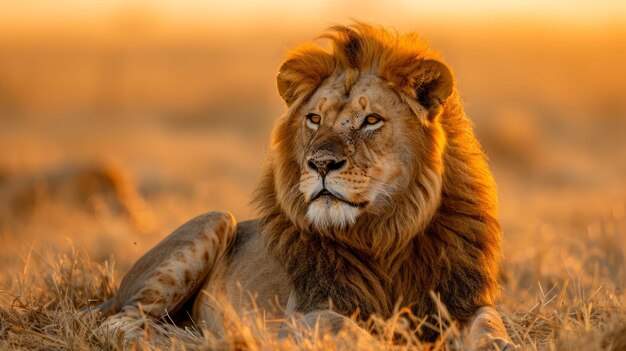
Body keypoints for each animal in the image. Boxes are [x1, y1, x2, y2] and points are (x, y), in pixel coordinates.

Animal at [92, 23, 512, 350]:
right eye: (314, 118)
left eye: (371, 120)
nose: (320, 164)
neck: (386, 233)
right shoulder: (307, 311)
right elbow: (346, 328)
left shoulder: (462, 301)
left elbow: (491, 326)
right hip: (217, 220)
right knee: (120, 321)